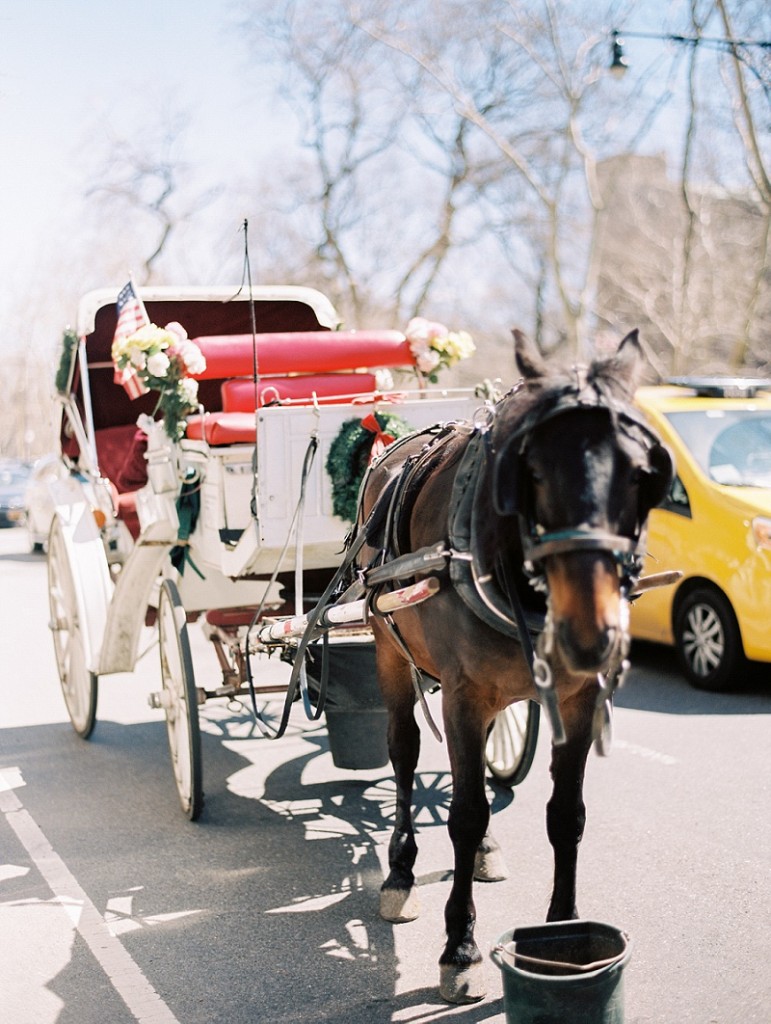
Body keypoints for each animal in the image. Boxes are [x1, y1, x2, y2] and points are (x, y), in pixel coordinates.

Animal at [352, 327, 671, 999]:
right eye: (534, 472)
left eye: (640, 475)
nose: (589, 634)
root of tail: (394, 445)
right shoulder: (462, 694)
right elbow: (465, 812)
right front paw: (460, 948)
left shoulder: (579, 697)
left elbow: (566, 815)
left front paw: (564, 931)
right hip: (388, 649)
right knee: (404, 752)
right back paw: (399, 873)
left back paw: (484, 853)